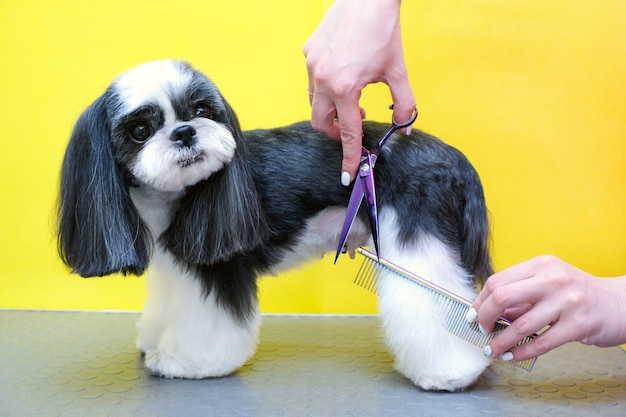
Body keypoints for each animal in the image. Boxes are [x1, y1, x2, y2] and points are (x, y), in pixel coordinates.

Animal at [58, 58, 494, 390]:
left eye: (201, 111)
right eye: (140, 130)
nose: (184, 132)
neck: (175, 195)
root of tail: (450, 155)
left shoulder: (219, 266)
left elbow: (209, 322)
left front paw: (187, 362)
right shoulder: (176, 265)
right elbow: (168, 304)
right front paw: (153, 339)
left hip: (415, 240)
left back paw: (452, 371)